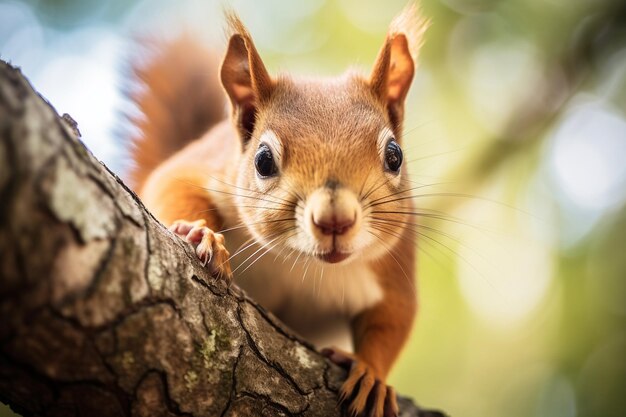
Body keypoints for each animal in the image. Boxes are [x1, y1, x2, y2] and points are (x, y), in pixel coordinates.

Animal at [127, 4, 428, 416]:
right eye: (263, 160)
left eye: (394, 156)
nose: (335, 220)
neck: (300, 262)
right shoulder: (203, 167)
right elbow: (171, 184)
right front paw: (199, 232)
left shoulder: (392, 262)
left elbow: (393, 317)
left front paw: (371, 373)